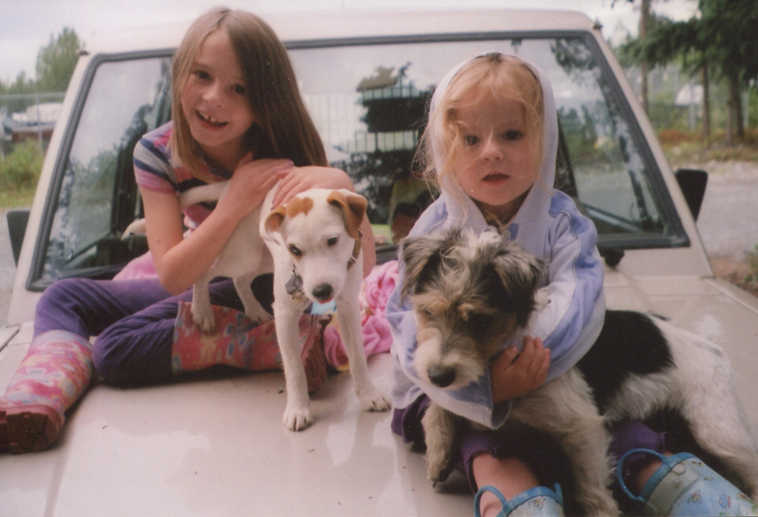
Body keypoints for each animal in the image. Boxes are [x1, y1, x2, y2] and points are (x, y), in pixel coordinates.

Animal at [400, 228, 756, 512]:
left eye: (479, 321)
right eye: (427, 312)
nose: (437, 376)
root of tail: (713, 347)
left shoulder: (583, 427)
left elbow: (593, 491)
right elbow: (438, 407)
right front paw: (438, 454)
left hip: (717, 428)